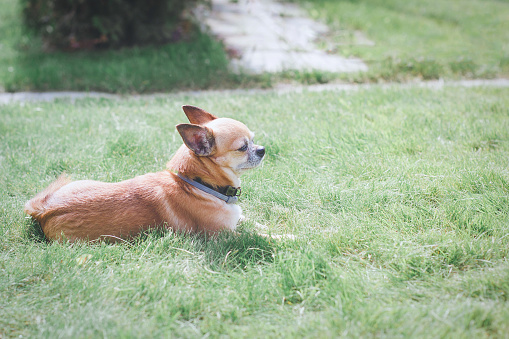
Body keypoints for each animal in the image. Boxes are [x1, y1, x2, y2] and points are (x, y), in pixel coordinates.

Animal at [22, 105, 266, 242]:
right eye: (242, 147)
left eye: (254, 139)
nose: (263, 149)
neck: (198, 183)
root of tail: (43, 209)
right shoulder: (225, 237)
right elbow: (259, 237)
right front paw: (276, 238)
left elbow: (251, 221)